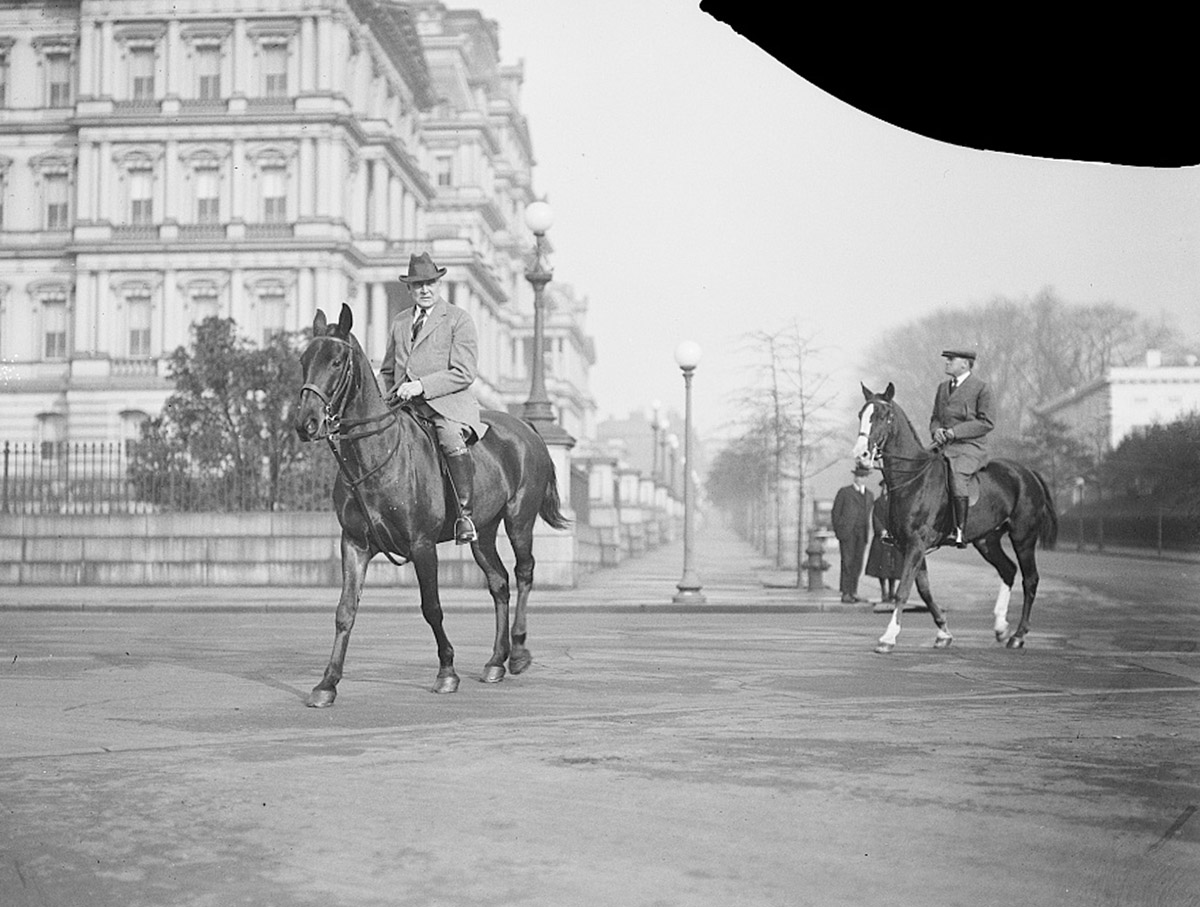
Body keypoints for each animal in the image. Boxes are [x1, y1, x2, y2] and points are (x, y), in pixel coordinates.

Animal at [292, 304, 568, 710]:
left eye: (337, 361)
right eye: (304, 360)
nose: (306, 423)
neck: (373, 455)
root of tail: (527, 428)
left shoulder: (422, 546)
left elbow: (431, 607)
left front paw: (447, 672)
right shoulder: (354, 544)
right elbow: (345, 611)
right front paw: (327, 682)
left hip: (519, 521)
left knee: (524, 573)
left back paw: (517, 651)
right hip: (483, 532)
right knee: (499, 582)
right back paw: (496, 660)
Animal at [849, 381, 1056, 652]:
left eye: (884, 416)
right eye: (861, 415)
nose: (861, 455)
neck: (913, 477)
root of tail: (1027, 473)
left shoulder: (916, 544)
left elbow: (903, 590)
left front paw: (888, 637)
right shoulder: (909, 546)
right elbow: (924, 589)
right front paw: (943, 632)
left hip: (1024, 538)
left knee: (1030, 580)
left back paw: (1018, 635)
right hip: (987, 541)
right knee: (1008, 570)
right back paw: (1001, 627)